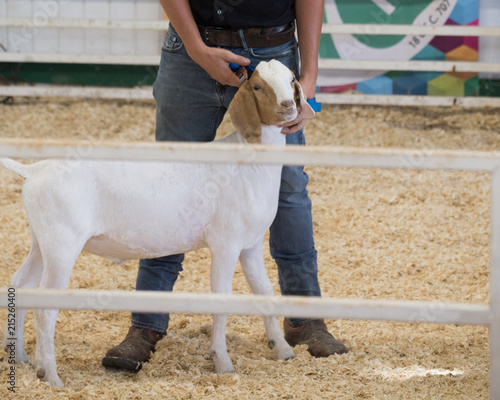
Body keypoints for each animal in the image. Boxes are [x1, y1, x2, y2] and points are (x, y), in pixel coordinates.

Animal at [0, 57, 312, 386]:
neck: (249, 163)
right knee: (45, 308)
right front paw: (223, 361)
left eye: (292, 79)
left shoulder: (250, 244)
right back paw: (50, 375)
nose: (288, 104)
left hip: (41, 241)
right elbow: (222, 298)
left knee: (20, 284)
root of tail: (33, 170)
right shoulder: (225, 243)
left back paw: (19, 356)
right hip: (62, 245)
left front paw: (282, 349)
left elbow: (264, 291)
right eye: (257, 87)